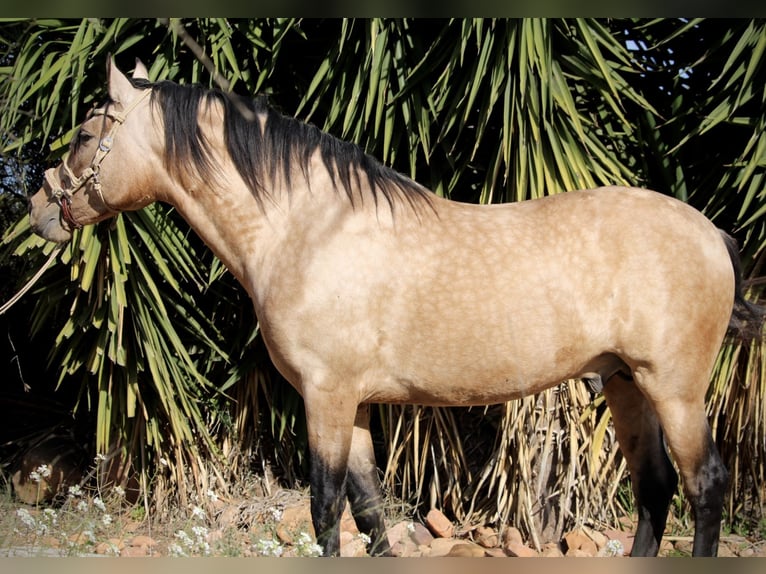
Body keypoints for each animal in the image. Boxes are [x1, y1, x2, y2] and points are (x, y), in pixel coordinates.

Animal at [27, 58, 764, 560]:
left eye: (86, 134)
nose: (38, 207)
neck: (306, 228)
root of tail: (712, 234)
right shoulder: (350, 404)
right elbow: (370, 512)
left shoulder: (325, 397)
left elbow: (326, 510)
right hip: (626, 384)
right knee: (655, 490)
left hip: (674, 389)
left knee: (703, 487)